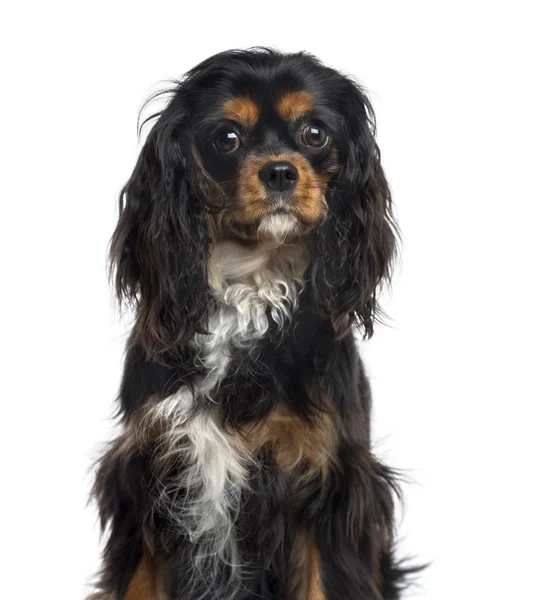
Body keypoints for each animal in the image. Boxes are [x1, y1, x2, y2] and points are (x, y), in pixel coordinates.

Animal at [90, 48, 412, 600]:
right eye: (227, 138)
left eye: (314, 133)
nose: (280, 172)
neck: (250, 286)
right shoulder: (146, 476)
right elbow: (137, 582)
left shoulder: (328, 483)